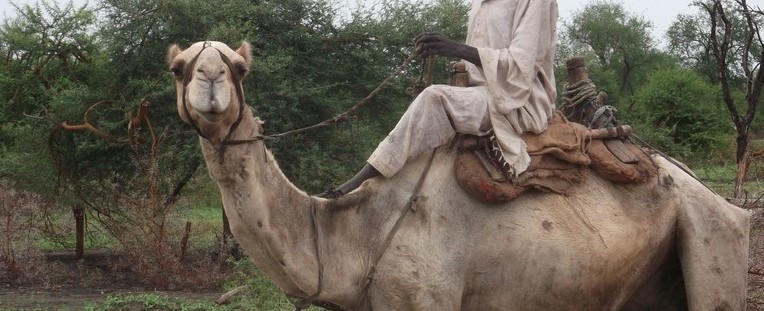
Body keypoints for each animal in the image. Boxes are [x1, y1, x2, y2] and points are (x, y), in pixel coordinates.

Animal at [170, 40, 748, 310]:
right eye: (179, 67)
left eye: (238, 67)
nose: (211, 80)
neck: (352, 233)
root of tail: (726, 200)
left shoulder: (429, 296)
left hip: (710, 234)